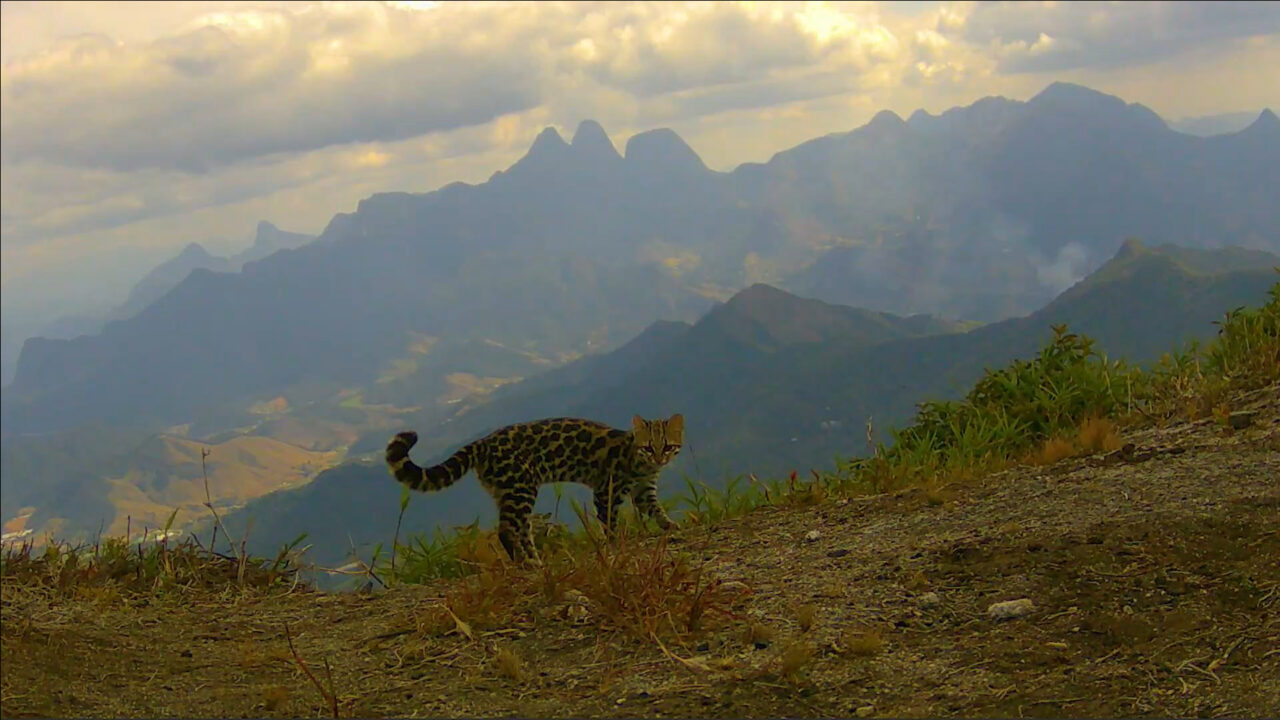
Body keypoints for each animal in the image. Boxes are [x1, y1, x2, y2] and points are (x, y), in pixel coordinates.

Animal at [384, 412, 686, 563]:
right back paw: (527, 564)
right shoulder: (606, 491)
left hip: (508, 491)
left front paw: (671, 525)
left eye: (667, 446)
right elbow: (609, 521)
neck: (644, 466)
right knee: (506, 530)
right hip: (520, 487)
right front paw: (616, 542)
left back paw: (533, 558)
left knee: (521, 529)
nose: (660, 459)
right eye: (649, 447)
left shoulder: (645, 490)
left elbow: (657, 509)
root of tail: (482, 442)